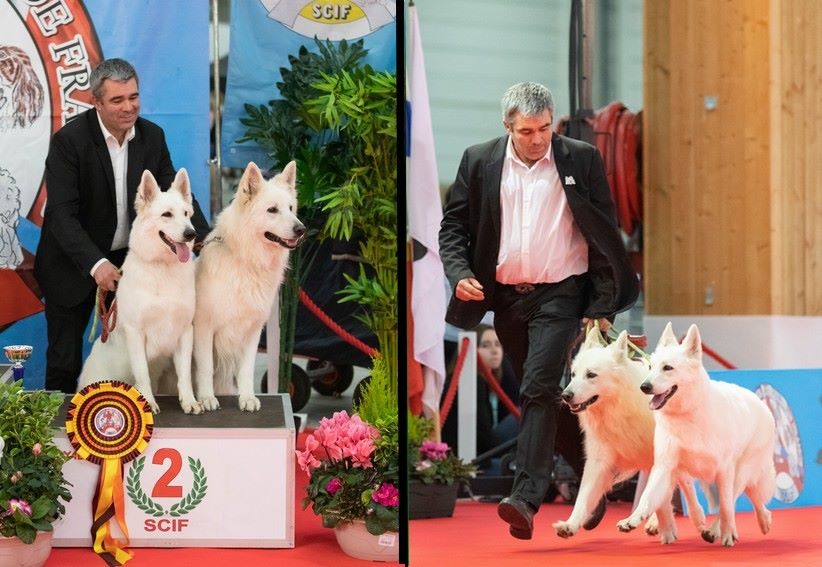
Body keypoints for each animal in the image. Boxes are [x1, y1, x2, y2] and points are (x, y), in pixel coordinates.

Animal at [78, 168, 200, 412]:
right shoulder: (136, 333)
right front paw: (148, 403)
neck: (162, 268)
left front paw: (189, 401)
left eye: (186, 213)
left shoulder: (185, 331)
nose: (191, 233)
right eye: (167, 214)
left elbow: (184, 375)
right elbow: (142, 373)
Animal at [193, 160, 306, 412]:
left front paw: (247, 399)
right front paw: (206, 398)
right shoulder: (204, 329)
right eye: (272, 210)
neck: (246, 261)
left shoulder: (252, 331)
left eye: (291, 208)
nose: (301, 230)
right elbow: (205, 368)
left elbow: (246, 369)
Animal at [556, 328, 704, 544]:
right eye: (573, 374)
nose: (565, 396)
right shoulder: (598, 461)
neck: (618, 407)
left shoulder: (660, 457)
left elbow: (657, 494)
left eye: (591, 375)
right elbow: (583, 497)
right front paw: (570, 524)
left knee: (682, 486)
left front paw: (662, 525)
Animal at [616, 322, 780, 548]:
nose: (644, 387)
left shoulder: (724, 470)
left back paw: (734, 526)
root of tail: (760, 402)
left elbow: (727, 506)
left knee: (740, 497)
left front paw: (727, 534)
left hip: (742, 472)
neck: (688, 414)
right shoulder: (665, 467)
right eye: (651, 367)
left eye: (668, 368)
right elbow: (647, 498)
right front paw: (632, 520)